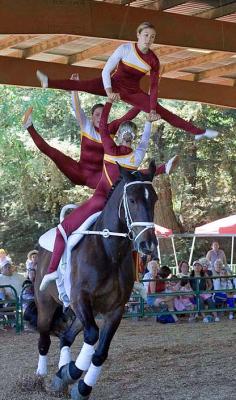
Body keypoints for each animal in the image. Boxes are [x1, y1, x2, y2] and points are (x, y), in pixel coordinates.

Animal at [32, 161, 158, 398]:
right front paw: (70, 373)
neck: (109, 252)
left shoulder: (115, 309)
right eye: (132, 200)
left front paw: (79, 385)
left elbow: (99, 352)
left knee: (66, 337)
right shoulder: (80, 299)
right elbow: (92, 336)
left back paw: (60, 375)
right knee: (44, 339)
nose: (148, 244)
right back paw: (40, 377)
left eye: (154, 199)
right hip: (46, 304)